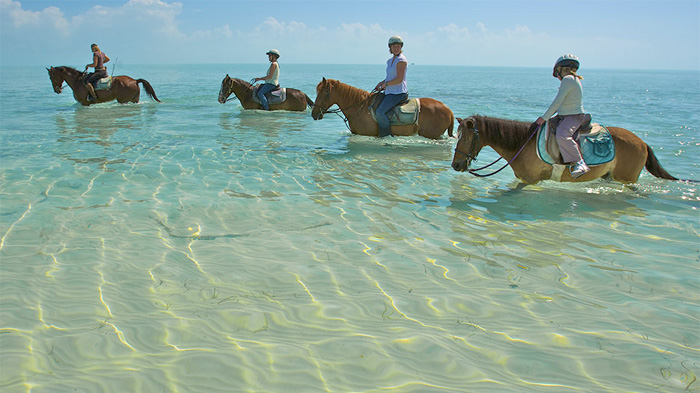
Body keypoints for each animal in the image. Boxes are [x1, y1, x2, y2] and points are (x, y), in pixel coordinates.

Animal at [448, 115, 684, 184]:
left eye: (465, 138)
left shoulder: (531, 182)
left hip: (627, 179)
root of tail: (642, 142)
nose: (456, 165)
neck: (522, 144)